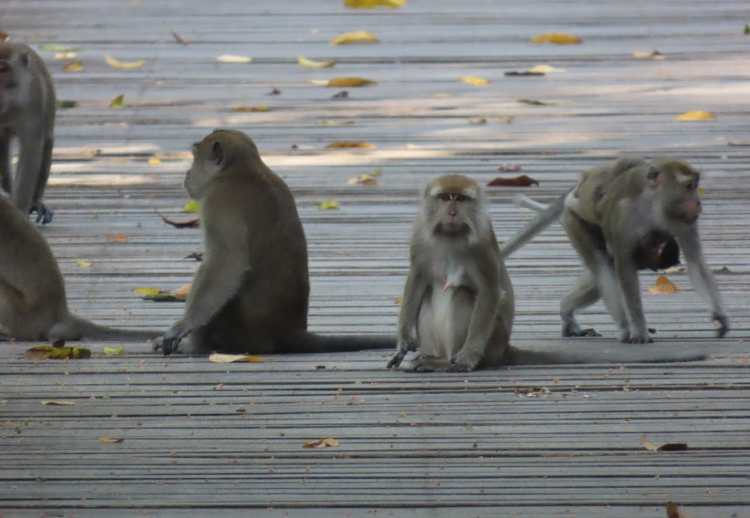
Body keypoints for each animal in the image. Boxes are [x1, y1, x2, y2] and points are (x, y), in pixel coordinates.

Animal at [0, 41, 55, 224]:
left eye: (3, 69)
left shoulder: (33, 98)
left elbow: (30, 152)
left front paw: (20, 210)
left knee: (46, 143)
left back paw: (35, 202)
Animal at [152, 130, 394, 358]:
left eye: (195, 157)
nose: (187, 174)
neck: (242, 169)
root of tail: (289, 332)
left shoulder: (217, 203)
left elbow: (226, 263)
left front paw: (184, 325)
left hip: (238, 332)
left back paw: (196, 346)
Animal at [384, 176, 708, 374]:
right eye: (445, 198)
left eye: (461, 199)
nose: (452, 212)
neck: (450, 235)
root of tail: (505, 349)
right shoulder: (421, 238)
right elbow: (418, 281)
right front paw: (403, 341)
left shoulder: (481, 243)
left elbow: (490, 290)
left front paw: (467, 358)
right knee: (433, 292)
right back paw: (434, 357)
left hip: (493, 340)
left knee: (462, 293)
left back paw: (449, 361)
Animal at [502, 158, 732, 346]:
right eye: (688, 186)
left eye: (695, 186)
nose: (698, 202)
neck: (652, 206)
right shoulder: (624, 217)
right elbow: (625, 269)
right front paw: (638, 329)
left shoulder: (683, 221)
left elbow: (695, 260)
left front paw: (720, 316)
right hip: (574, 219)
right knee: (602, 265)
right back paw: (623, 326)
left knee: (601, 272)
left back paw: (566, 311)